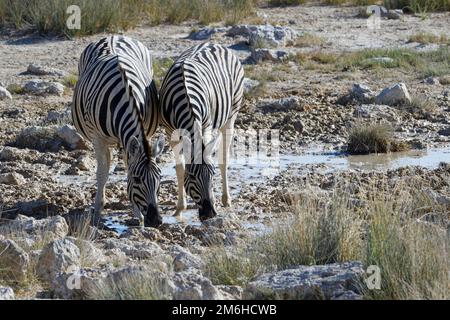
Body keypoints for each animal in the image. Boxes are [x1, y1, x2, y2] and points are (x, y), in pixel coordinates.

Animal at [73, 35, 164, 228]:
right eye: (137, 180)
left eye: (160, 178)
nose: (156, 221)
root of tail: (113, 35)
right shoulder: (97, 138)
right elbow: (101, 173)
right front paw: (97, 211)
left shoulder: (140, 132)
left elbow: (128, 165)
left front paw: (138, 214)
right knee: (105, 166)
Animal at [158, 42, 243, 221]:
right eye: (191, 177)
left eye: (212, 174)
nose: (209, 213)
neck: (185, 96)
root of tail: (214, 43)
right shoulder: (170, 132)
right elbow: (180, 168)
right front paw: (180, 208)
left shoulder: (206, 126)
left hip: (232, 114)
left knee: (224, 158)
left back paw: (226, 199)